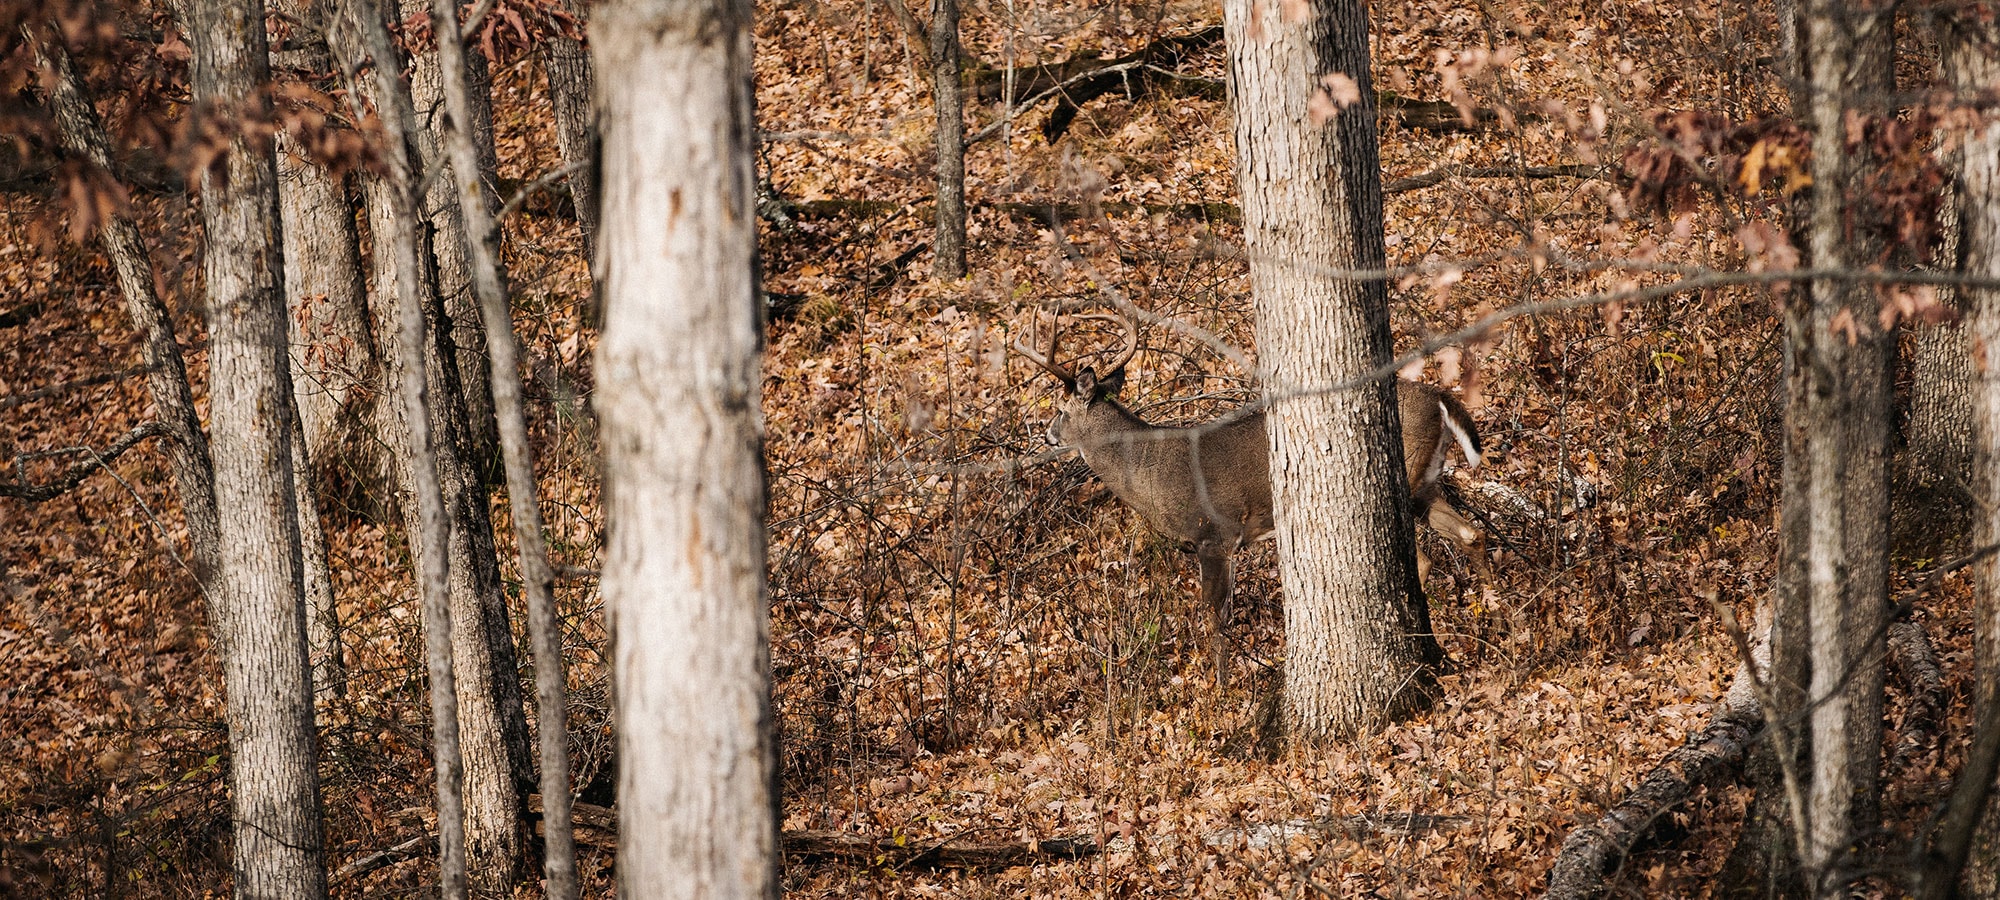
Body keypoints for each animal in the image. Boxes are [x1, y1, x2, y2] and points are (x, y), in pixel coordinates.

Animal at [1015, 311, 1486, 683]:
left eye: (1061, 409)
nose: (1047, 433)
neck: (1151, 472)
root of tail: (1438, 397)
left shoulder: (1214, 535)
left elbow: (1215, 617)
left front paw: (1220, 689)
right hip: (1425, 482)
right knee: (1471, 533)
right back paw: (1489, 623)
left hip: (1402, 479)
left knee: (1423, 558)